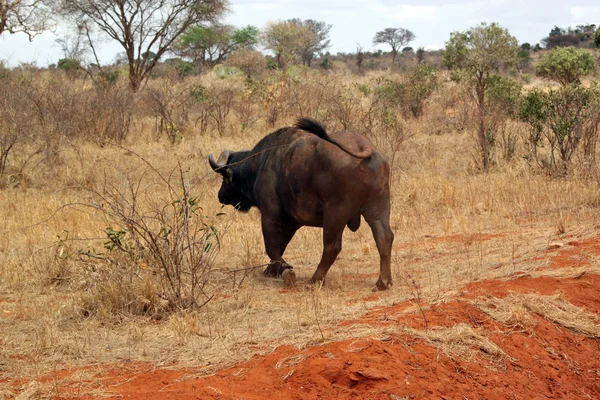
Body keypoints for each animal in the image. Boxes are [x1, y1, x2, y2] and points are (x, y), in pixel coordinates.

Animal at [210, 117, 394, 290]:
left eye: (224, 178)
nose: (220, 195)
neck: (262, 162)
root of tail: (363, 146)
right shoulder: (292, 222)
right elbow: (281, 245)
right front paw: (271, 270)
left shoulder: (270, 215)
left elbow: (271, 246)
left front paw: (285, 271)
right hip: (377, 210)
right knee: (384, 238)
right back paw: (383, 282)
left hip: (335, 215)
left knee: (332, 247)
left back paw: (315, 280)